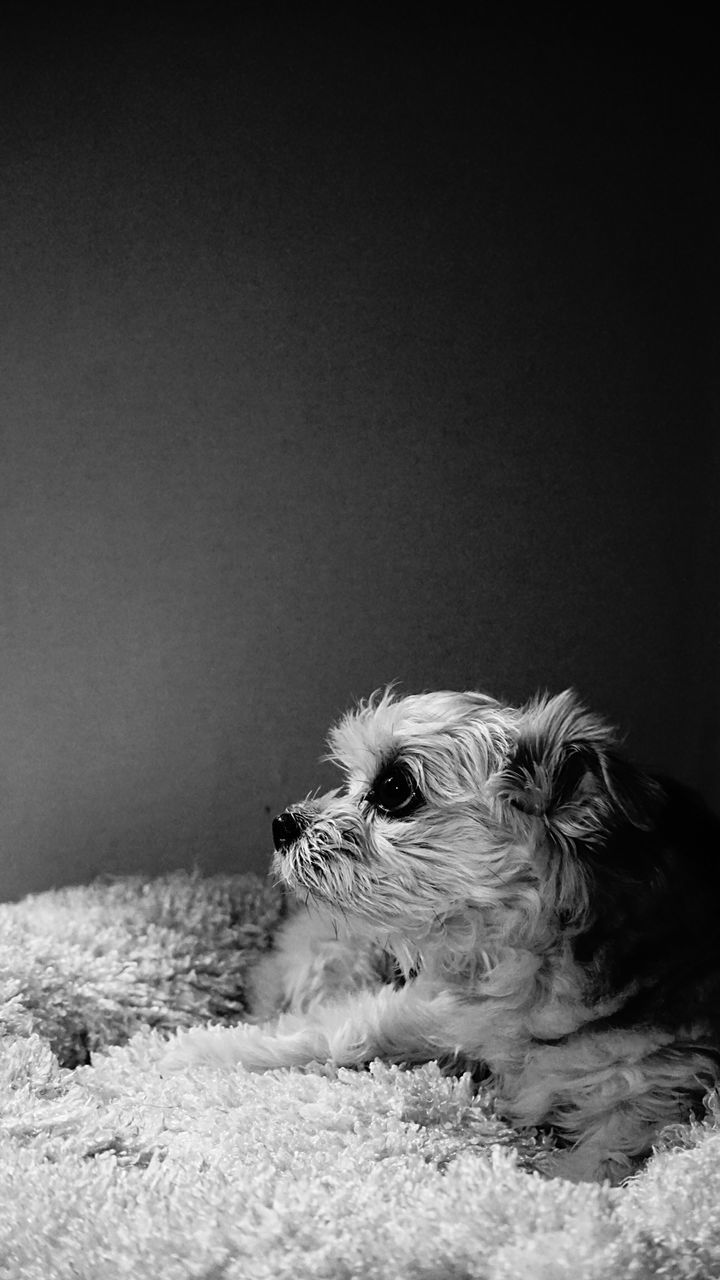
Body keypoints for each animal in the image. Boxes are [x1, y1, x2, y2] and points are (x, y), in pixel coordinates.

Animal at [162, 691, 717, 1177]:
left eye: (394, 788)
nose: (281, 824)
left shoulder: (646, 1103)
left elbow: (589, 1174)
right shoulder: (431, 1012)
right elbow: (334, 1035)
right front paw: (199, 1052)